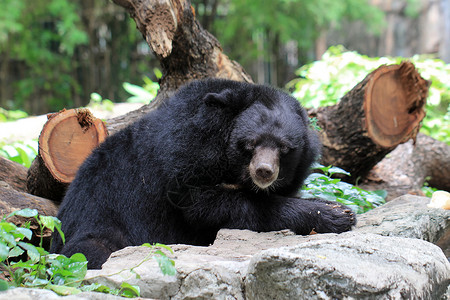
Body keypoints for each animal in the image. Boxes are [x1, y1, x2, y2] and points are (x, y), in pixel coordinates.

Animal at [51, 78, 356, 268]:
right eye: (250, 144)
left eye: (283, 147)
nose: (264, 171)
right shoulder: (183, 162)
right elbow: (210, 206)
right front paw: (334, 215)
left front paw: (337, 210)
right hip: (96, 226)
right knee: (91, 250)